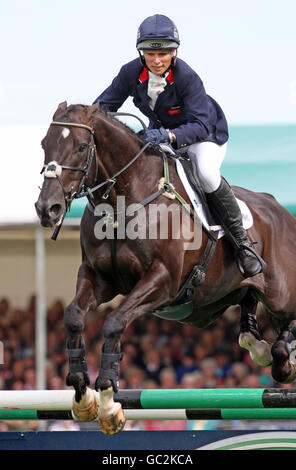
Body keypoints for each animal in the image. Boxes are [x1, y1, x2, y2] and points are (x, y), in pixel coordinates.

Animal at [35, 101, 296, 436]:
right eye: (45, 144)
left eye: (81, 147)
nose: (47, 209)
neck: (122, 202)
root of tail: (280, 209)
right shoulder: (98, 277)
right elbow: (74, 317)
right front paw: (83, 397)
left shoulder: (162, 281)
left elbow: (114, 322)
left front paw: (108, 402)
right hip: (231, 290)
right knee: (249, 305)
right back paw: (261, 347)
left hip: (280, 293)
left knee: (285, 316)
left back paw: (282, 361)